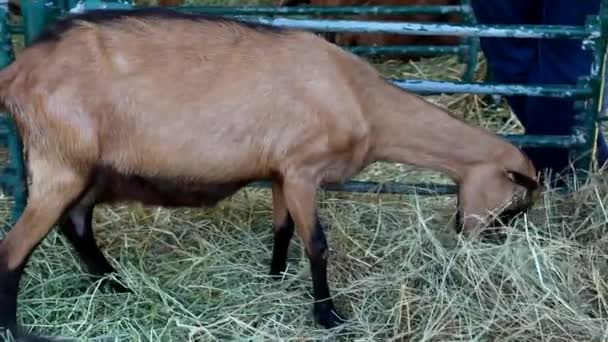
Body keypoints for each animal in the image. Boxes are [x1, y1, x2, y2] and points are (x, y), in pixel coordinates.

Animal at [0, 7, 540, 340]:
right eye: (515, 203)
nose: (477, 242)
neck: (361, 98)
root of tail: (18, 72)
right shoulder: (304, 170)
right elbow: (317, 244)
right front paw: (328, 315)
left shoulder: (282, 172)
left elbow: (283, 229)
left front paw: (276, 277)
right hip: (61, 162)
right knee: (15, 249)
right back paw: (19, 329)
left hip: (89, 169)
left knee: (77, 225)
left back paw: (117, 287)